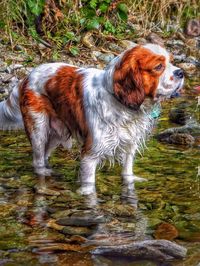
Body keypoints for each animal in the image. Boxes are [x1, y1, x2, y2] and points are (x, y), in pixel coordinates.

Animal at [0, 43, 184, 194]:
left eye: (172, 62)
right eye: (159, 66)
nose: (181, 72)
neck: (120, 103)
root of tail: (26, 77)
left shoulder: (129, 144)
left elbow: (127, 171)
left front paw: (130, 182)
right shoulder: (90, 154)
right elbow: (89, 186)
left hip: (57, 133)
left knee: (45, 154)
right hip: (38, 129)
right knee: (37, 159)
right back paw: (43, 173)